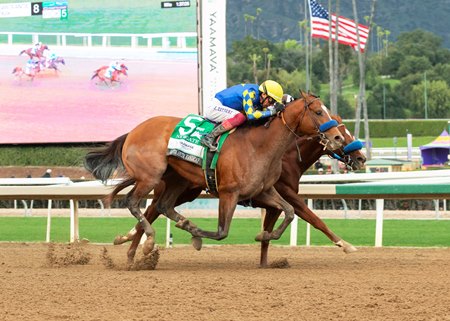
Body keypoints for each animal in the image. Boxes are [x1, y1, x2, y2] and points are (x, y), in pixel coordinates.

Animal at [84, 90, 344, 255]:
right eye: (319, 112)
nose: (338, 138)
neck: (259, 146)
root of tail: (133, 132)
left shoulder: (264, 190)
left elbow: (289, 212)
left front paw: (263, 236)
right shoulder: (229, 193)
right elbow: (221, 232)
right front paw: (197, 236)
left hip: (177, 180)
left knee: (162, 206)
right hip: (150, 176)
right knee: (133, 202)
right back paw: (146, 242)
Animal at [115, 118, 366, 264]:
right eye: (344, 135)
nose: (361, 157)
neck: (286, 158)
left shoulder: (272, 200)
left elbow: (272, 229)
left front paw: (265, 260)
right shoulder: (288, 195)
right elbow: (315, 219)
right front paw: (345, 245)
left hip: (183, 192)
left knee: (153, 211)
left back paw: (128, 242)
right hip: (172, 189)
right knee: (149, 212)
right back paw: (133, 249)